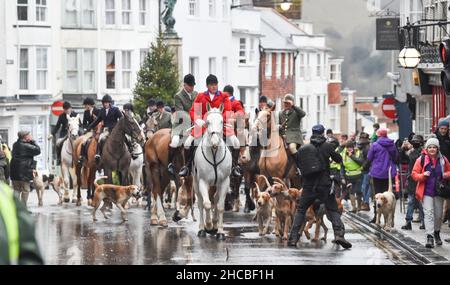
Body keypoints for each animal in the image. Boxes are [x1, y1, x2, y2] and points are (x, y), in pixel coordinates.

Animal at [192, 104, 232, 240]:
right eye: (207, 122)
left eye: (222, 121)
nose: (215, 142)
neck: (214, 152)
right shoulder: (203, 182)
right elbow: (207, 204)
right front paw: (208, 225)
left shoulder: (224, 181)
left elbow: (220, 206)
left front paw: (219, 231)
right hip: (196, 183)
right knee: (201, 203)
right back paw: (202, 228)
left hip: (217, 184)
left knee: (215, 198)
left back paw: (214, 224)